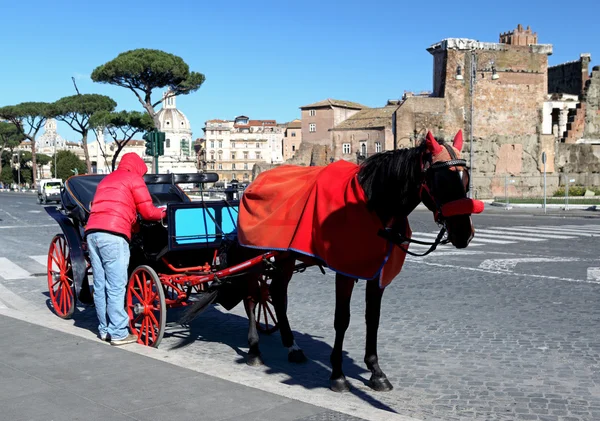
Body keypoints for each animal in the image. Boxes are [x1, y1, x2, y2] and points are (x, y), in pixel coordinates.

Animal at [182, 130, 482, 390]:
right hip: (254, 253)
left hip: (285, 256)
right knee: (252, 297)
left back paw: (292, 346)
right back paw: (255, 349)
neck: (372, 205)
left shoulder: (377, 274)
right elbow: (342, 319)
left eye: (466, 178)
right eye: (441, 181)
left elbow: (373, 318)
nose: (463, 233)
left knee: (277, 292)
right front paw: (338, 374)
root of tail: (251, 184)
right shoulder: (345, 272)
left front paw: (375, 370)